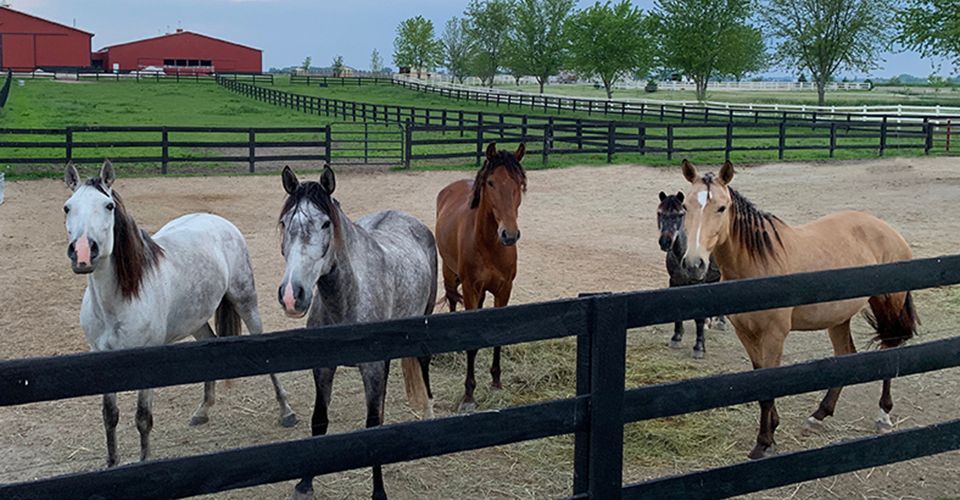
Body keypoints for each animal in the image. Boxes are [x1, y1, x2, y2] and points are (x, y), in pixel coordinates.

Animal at [62, 160, 296, 468]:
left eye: (108, 205)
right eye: (67, 207)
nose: (82, 252)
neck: (120, 299)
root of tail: (218, 221)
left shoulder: (146, 361)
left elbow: (143, 418)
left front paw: (144, 463)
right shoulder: (100, 357)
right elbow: (109, 416)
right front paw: (112, 465)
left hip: (246, 301)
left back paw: (286, 411)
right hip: (195, 319)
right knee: (208, 342)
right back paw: (202, 411)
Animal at [277, 165, 434, 500]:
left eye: (326, 223)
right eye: (285, 224)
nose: (292, 295)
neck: (347, 299)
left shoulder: (371, 368)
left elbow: (372, 427)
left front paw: (379, 492)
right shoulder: (323, 367)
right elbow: (319, 420)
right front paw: (305, 483)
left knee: (423, 364)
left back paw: (428, 412)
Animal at [435, 142, 526, 412]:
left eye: (519, 183)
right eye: (491, 183)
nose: (509, 234)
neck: (489, 245)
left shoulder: (504, 290)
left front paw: (496, 382)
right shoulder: (470, 289)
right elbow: (472, 343)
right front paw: (469, 395)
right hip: (450, 273)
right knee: (452, 301)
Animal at [657, 191, 725, 359]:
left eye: (681, 214)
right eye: (660, 213)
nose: (665, 242)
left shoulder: (697, 282)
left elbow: (698, 317)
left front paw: (699, 347)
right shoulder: (675, 281)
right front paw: (676, 337)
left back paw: (721, 321)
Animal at [678, 159, 917, 460]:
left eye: (721, 207)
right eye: (685, 206)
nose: (693, 264)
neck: (758, 264)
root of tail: (889, 231)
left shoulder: (774, 336)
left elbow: (769, 386)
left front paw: (763, 442)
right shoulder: (746, 334)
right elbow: (759, 383)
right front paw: (772, 431)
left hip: (888, 303)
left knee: (890, 348)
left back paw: (883, 415)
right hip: (838, 317)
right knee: (845, 354)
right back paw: (819, 415)